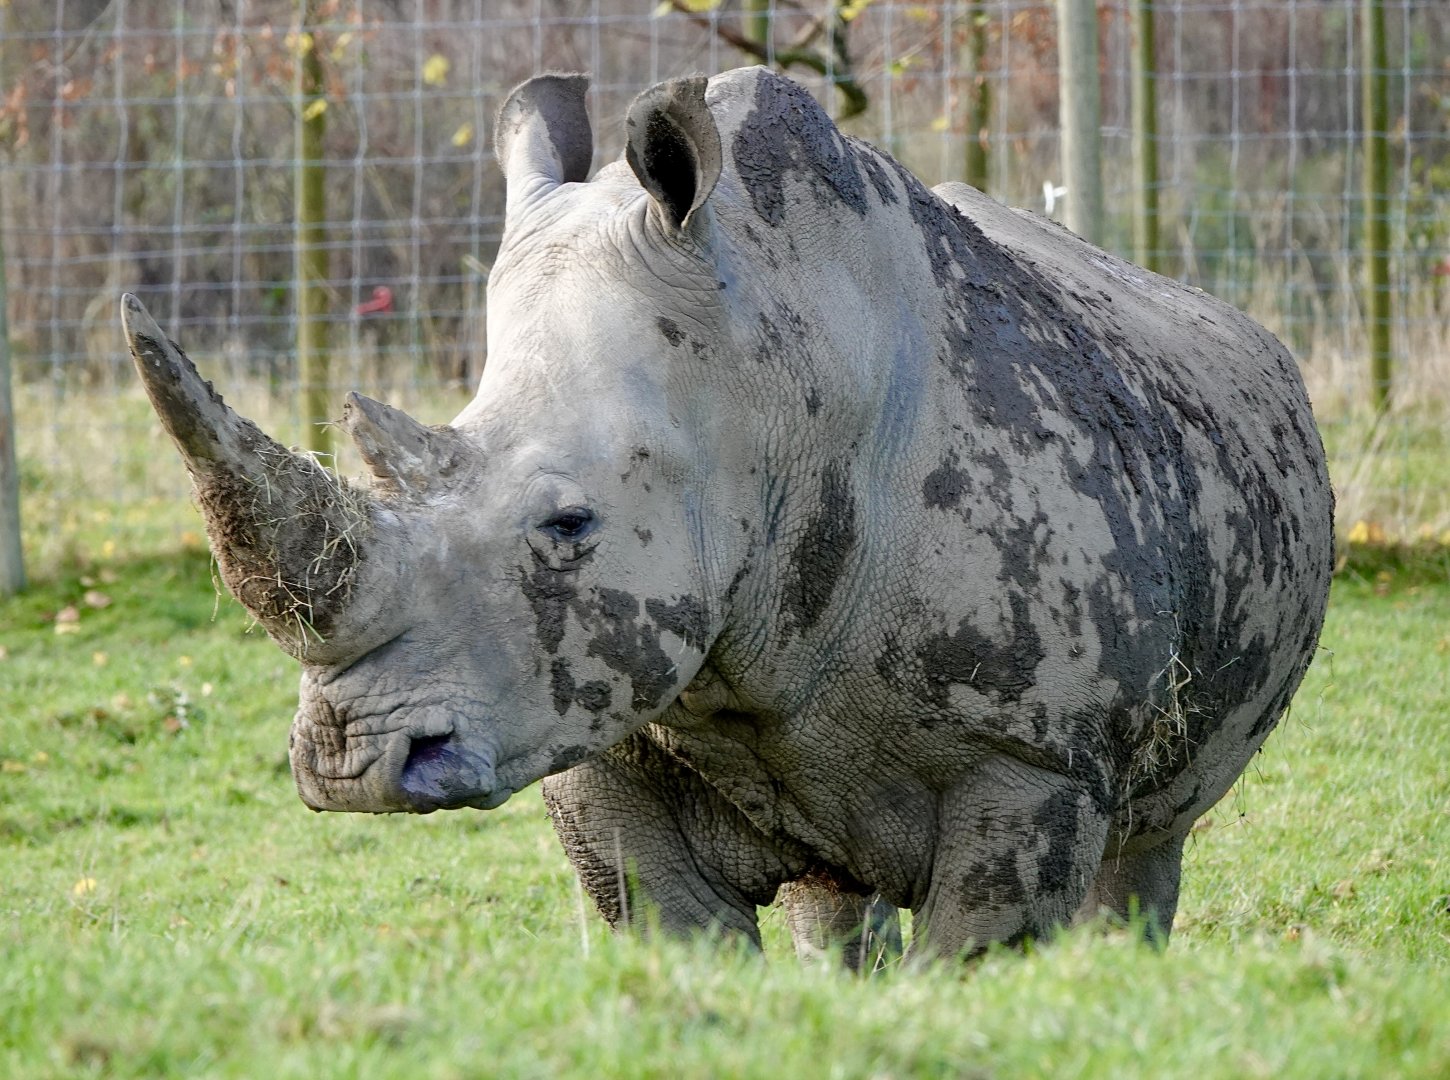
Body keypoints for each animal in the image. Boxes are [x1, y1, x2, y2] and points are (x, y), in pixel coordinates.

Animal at [122, 66, 1332, 965]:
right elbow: (674, 940)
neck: (762, 392)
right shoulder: (596, 736)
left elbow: (974, 956)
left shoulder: (1033, 762)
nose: (349, 763)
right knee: (832, 887)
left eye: (569, 526)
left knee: (1149, 847)